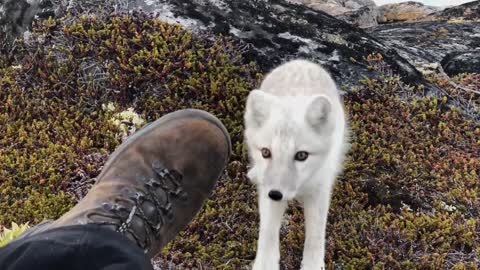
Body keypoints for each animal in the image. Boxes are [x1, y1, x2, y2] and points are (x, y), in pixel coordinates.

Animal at [244, 59, 348, 270]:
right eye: (266, 152)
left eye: (301, 155)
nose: (276, 194)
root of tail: (301, 62)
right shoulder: (268, 192)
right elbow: (268, 232)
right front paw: (266, 264)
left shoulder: (319, 190)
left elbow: (315, 236)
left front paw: (313, 265)